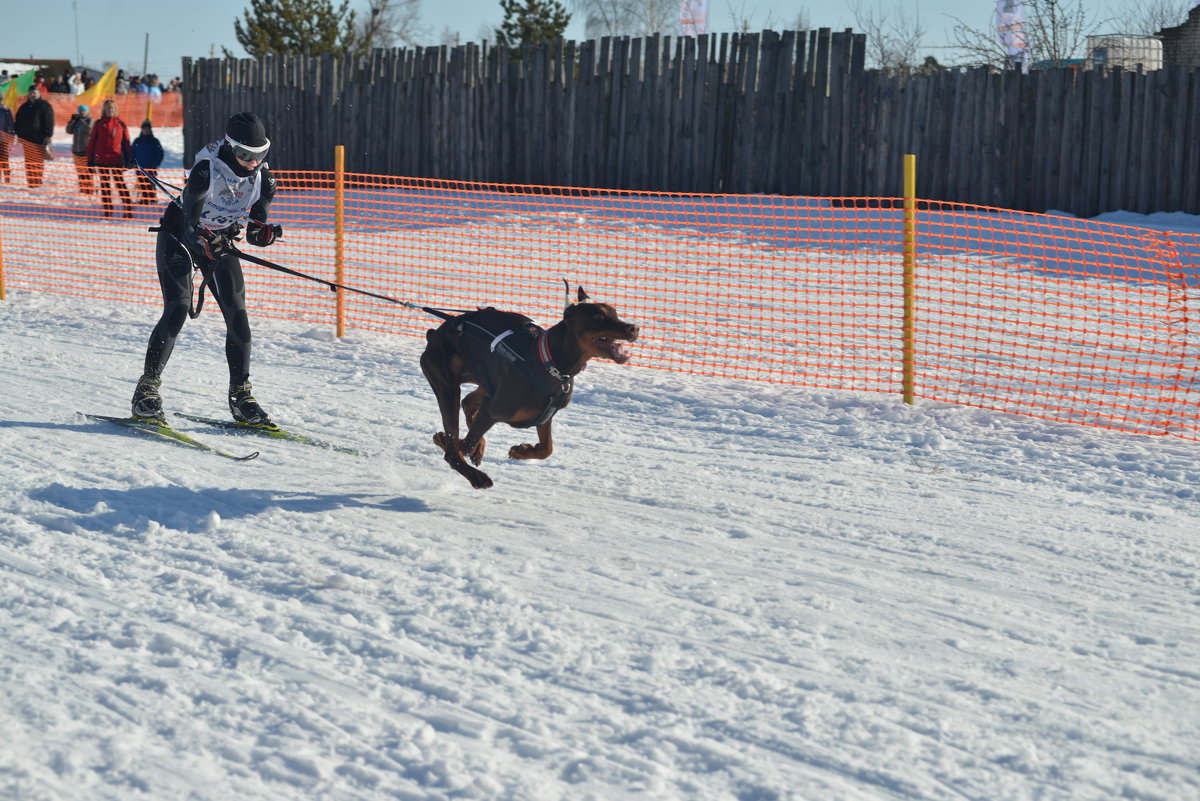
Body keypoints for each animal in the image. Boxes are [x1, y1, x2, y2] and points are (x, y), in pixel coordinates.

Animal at [424, 287, 648, 489]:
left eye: (615, 313)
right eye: (598, 317)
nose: (634, 328)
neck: (552, 363)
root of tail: (435, 333)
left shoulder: (544, 414)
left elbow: (547, 449)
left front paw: (521, 450)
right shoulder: (491, 411)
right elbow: (461, 445)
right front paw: (446, 440)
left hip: (485, 382)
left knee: (468, 403)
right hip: (446, 386)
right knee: (454, 446)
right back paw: (477, 477)